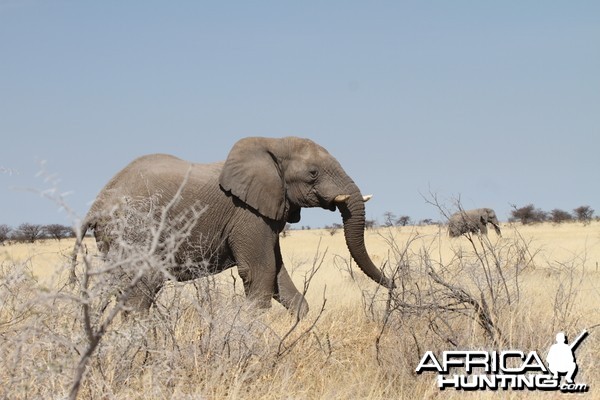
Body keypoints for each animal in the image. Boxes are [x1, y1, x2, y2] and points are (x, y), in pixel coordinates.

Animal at [74, 137, 394, 318]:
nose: (393, 285)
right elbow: (261, 272)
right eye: (313, 173)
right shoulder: (247, 214)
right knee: (143, 286)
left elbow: (278, 275)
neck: (271, 144)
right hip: (135, 229)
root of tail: (97, 205)